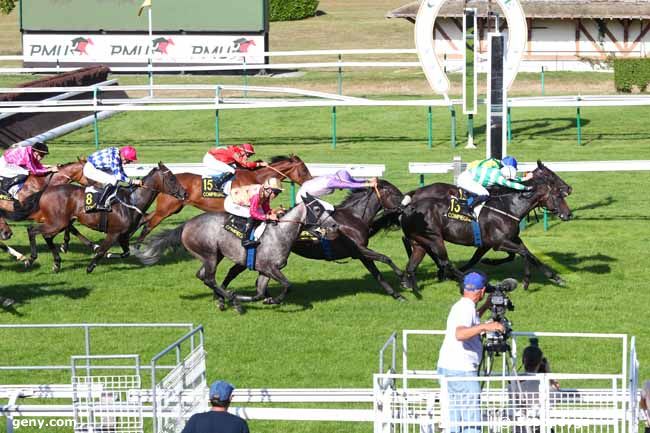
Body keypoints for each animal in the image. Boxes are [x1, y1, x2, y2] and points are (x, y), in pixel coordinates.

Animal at [24, 164, 184, 272]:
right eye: (171, 178)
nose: (184, 193)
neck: (132, 201)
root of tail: (45, 192)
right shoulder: (114, 233)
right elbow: (102, 251)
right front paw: (91, 266)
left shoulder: (123, 235)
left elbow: (126, 253)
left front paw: (108, 254)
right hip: (57, 222)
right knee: (32, 229)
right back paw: (31, 259)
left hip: (61, 222)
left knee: (47, 236)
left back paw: (57, 263)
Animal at [134, 155, 312, 243]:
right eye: (304, 169)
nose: (311, 180)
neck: (255, 177)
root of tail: (164, 185)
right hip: (166, 210)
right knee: (148, 225)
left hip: (170, 209)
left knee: (145, 218)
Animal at [134, 199, 332, 314]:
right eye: (317, 208)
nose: (334, 225)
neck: (280, 233)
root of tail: (186, 224)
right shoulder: (269, 267)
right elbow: (287, 285)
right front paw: (271, 299)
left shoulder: (265, 270)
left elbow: (260, 293)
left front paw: (265, 299)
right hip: (210, 254)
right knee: (209, 278)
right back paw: (232, 301)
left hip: (214, 255)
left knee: (202, 276)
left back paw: (224, 299)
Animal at [219, 179, 410, 300]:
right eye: (395, 193)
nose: (409, 206)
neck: (354, 217)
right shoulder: (358, 249)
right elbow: (385, 258)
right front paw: (405, 280)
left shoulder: (360, 253)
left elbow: (378, 274)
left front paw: (397, 295)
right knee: (234, 271)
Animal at [394, 161, 568, 290]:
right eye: (557, 194)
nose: (568, 214)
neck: (508, 206)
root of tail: (409, 206)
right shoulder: (498, 242)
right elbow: (524, 252)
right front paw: (527, 279)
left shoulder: (500, 240)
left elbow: (527, 253)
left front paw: (553, 277)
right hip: (434, 238)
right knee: (444, 261)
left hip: (421, 241)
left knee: (414, 261)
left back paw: (408, 281)